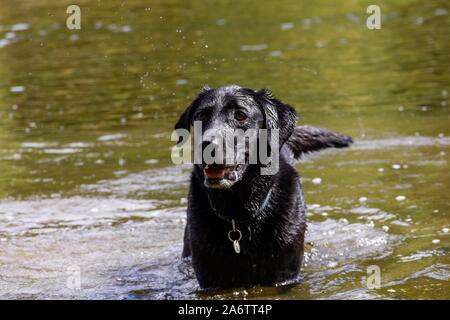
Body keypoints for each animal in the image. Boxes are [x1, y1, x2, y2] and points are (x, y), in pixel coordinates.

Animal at [174, 85, 354, 290]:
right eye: (201, 115)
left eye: (240, 115)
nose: (206, 145)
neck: (239, 211)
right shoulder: (210, 278)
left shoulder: (284, 274)